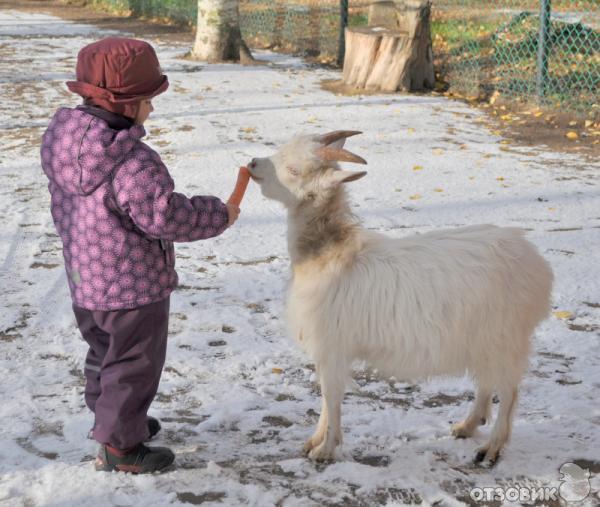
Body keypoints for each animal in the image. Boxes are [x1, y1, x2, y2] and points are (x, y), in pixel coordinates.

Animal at [247, 130, 552, 464]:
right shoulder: (330, 351)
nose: (252, 164)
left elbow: (332, 395)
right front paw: (313, 441)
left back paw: (491, 449)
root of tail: (536, 263)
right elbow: (328, 397)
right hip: (484, 339)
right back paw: (468, 426)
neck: (334, 252)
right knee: (486, 381)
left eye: (294, 170)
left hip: (505, 338)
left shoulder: (332, 347)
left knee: (509, 391)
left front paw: (325, 449)